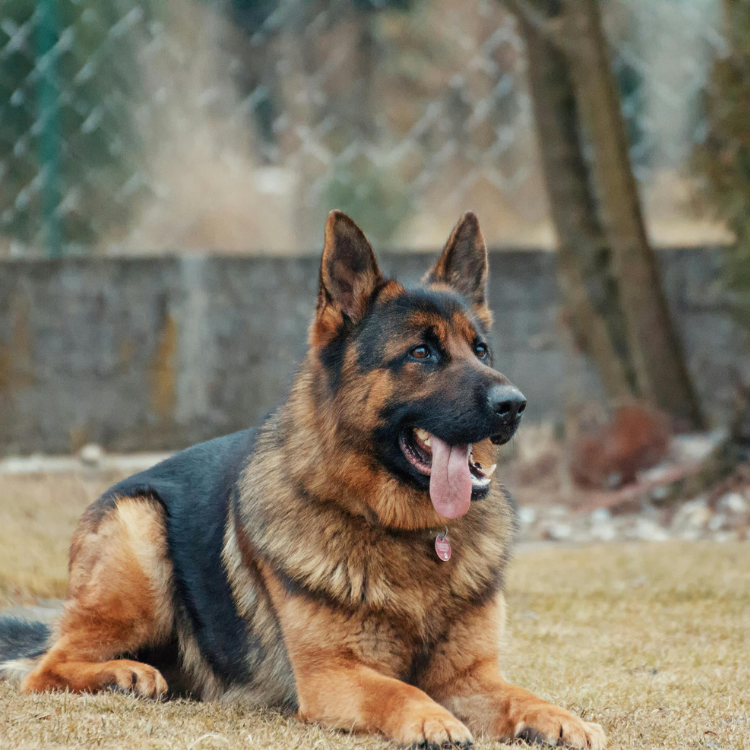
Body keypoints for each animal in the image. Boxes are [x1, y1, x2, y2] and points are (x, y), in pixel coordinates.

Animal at [0, 213, 604, 750]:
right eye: (421, 352)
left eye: (480, 351)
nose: (514, 405)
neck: (405, 532)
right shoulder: (333, 676)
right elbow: (399, 692)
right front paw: (432, 720)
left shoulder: (471, 677)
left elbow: (524, 696)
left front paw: (562, 719)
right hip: (140, 531)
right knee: (46, 667)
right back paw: (124, 673)